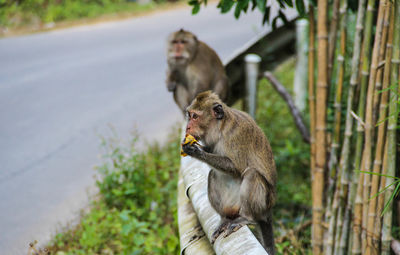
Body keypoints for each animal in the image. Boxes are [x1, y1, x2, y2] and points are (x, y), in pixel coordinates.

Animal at [183, 90, 276, 254]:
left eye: (195, 116)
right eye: (189, 115)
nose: (187, 128)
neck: (221, 127)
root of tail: (268, 211)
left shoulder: (236, 135)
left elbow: (236, 167)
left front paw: (196, 152)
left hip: (261, 204)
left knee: (252, 174)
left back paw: (247, 218)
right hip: (233, 206)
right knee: (213, 174)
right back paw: (225, 219)